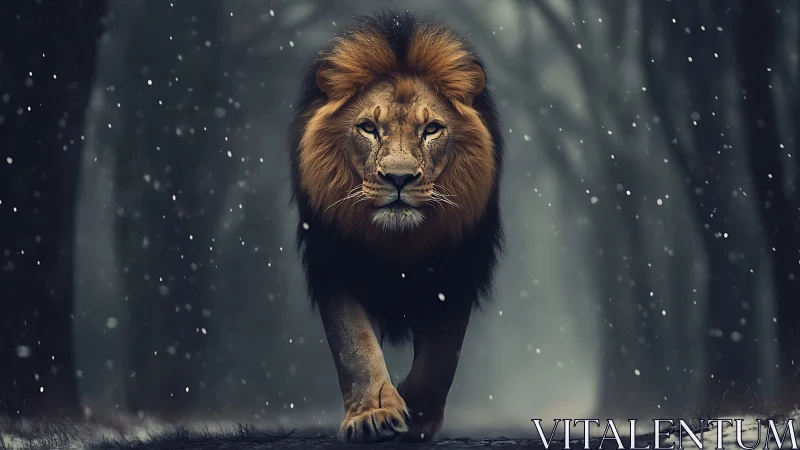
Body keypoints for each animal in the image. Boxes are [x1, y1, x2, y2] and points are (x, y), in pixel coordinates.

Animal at [288, 10, 504, 443]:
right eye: (369, 128)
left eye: (432, 129)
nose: (399, 178)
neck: (399, 243)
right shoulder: (335, 266)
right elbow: (355, 348)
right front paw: (374, 415)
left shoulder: (456, 273)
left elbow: (440, 359)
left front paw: (416, 415)